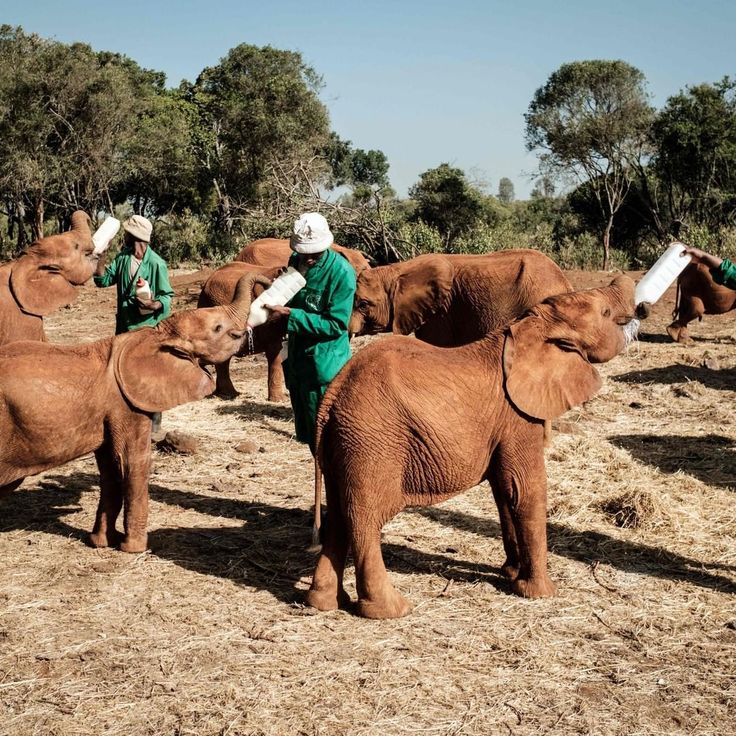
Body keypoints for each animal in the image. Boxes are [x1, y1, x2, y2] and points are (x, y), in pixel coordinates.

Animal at [0, 271, 269, 553]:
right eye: (217, 329)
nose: (269, 281)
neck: (155, 335)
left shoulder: (108, 410)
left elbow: (109, 468)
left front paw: (102, 543)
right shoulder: (127, 405)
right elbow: (132, 462)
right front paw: (135, 548)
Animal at [306, 276, 636, 619]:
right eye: (605, 312)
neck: (528, 327)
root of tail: (333, 395)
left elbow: (504, 490)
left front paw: (510, 574)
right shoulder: (517, 415)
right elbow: (525, 489)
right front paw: (540, 593)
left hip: (343, 443)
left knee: (339, 514)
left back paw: (324, 603)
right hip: (372, 442)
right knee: (365, 518)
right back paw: (392, 610)